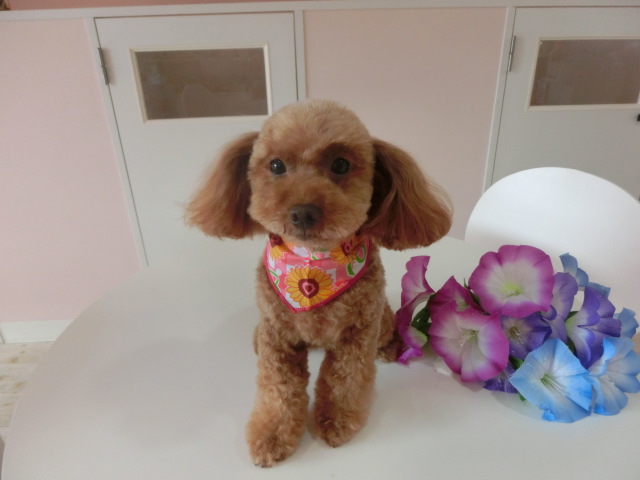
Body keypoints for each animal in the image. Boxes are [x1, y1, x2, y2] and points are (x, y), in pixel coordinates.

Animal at [186, 99, 452, 467]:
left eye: (340, 164)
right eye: (276, 165)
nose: (302, 212)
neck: (312, 267)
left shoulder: (356, 335)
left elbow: (343, 381)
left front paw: (336, 421)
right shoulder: (277, 337)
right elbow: (278, 390)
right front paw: (272, 435)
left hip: (380, 318)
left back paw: (391, 346)